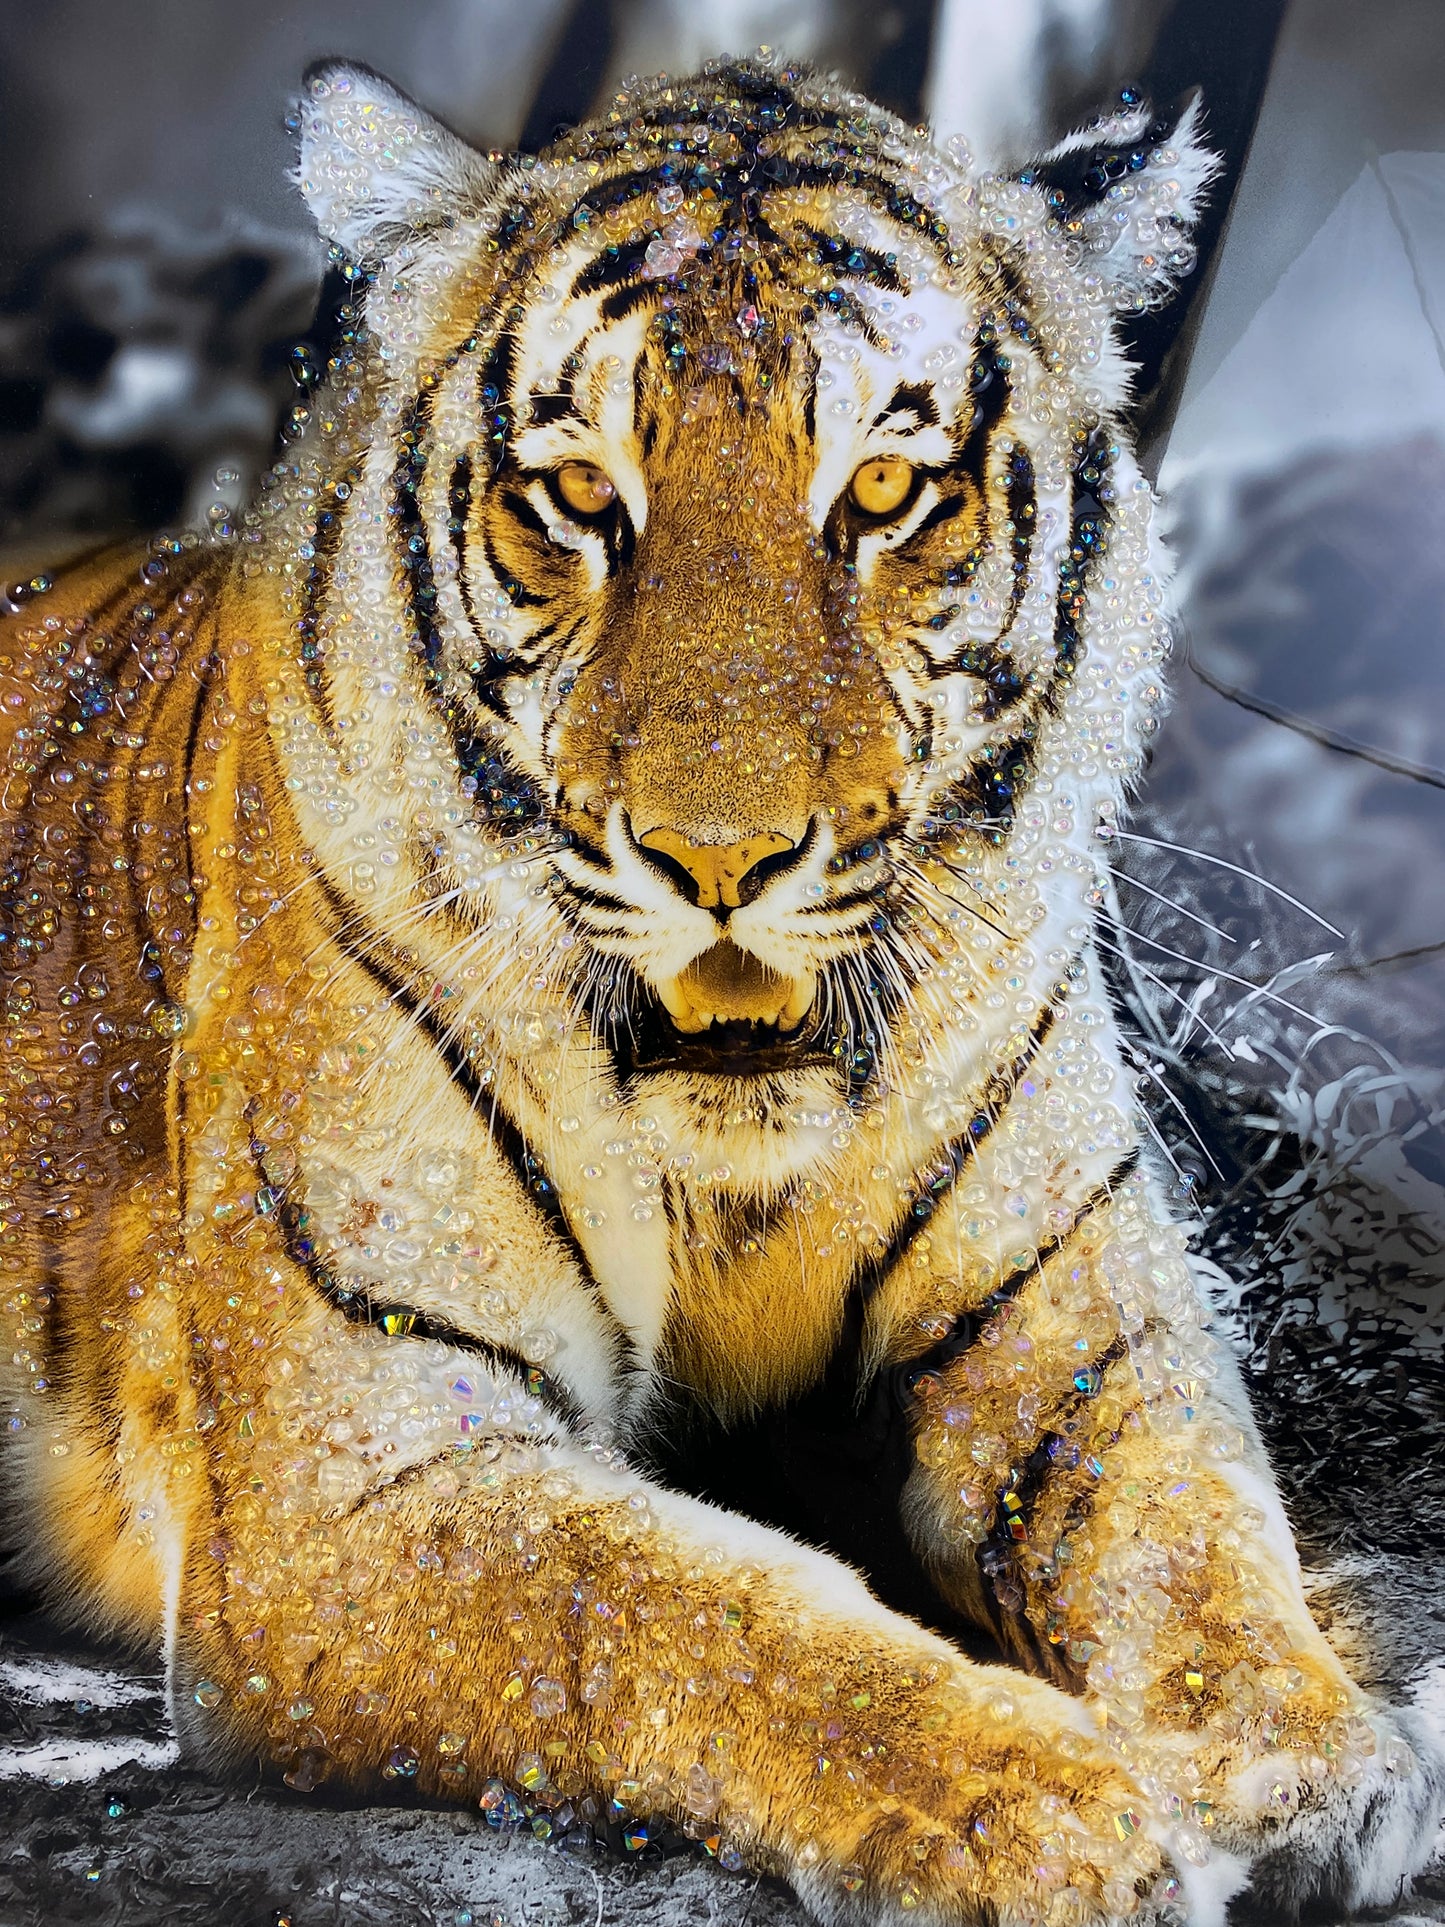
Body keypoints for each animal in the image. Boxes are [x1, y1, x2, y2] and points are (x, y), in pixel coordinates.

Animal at [0, 51, 1440, 1927]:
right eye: (579, 499)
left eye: (886, 497)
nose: (721, 861)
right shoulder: (370, 1463)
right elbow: (698, 1607)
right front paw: (1048, 1811)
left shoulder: (1087, 1335)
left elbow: (1189, 1529)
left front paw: (1310, 1759)